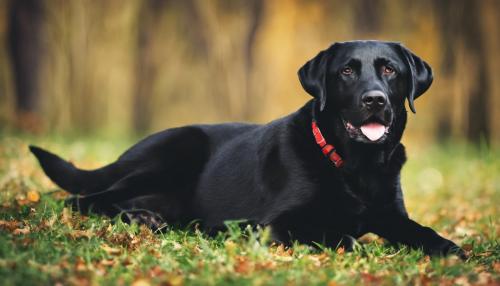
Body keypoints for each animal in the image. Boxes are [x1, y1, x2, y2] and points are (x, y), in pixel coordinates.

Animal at [30, 40, 464, 260]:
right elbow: (333, 235)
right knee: (84, 200)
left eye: (390, 70)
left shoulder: (390, 214)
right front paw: (353, 244)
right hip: (177, 149)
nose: (375, 99)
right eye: (346, 71)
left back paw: (149, 219)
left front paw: (449, 248)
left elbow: (420, 230)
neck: (355, 166)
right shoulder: (278, 223)